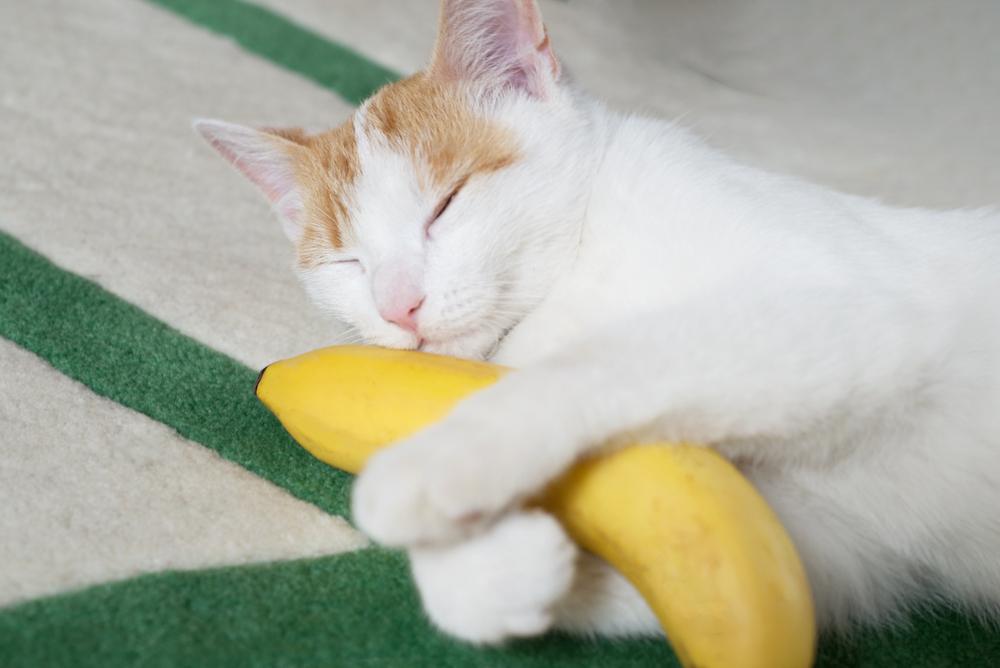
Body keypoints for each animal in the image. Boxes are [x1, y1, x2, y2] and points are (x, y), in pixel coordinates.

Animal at [193, 0, 1000, 648]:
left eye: (446, 204)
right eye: (347, 263)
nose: (399, 306)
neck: (573, 277)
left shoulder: (845, 314)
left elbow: (608, 363)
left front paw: (431, 467)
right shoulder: (810, 539)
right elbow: (735, 562)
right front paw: (492, 566)